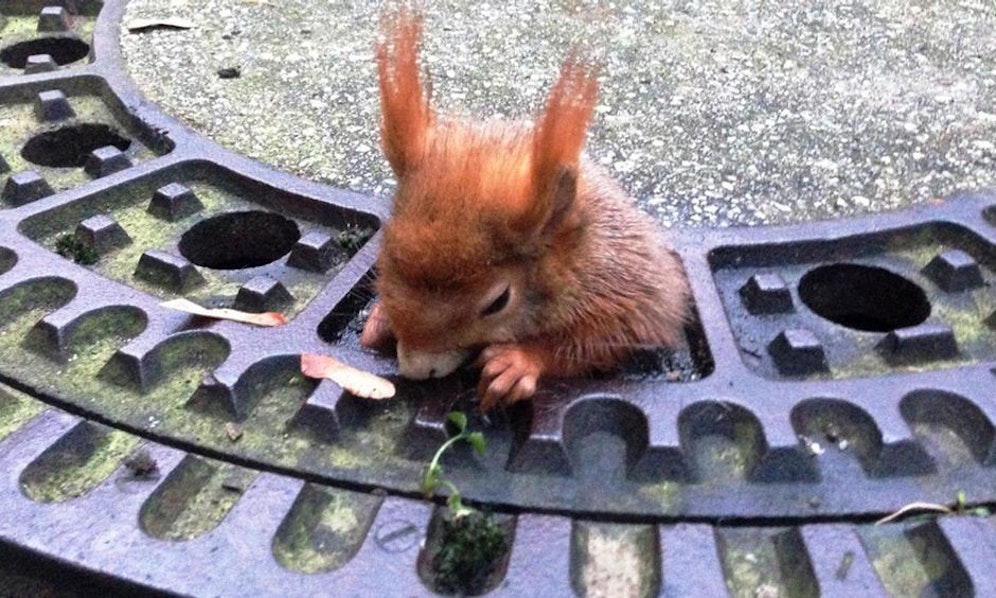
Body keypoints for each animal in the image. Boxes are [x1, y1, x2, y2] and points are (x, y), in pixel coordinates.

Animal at [360, 6, 691, 411]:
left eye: (499, 302)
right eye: (382, 259)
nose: (416, 368)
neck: (570, 256)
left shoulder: (620, 284)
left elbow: (608, 336)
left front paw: (518, 363)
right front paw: (379, 318)